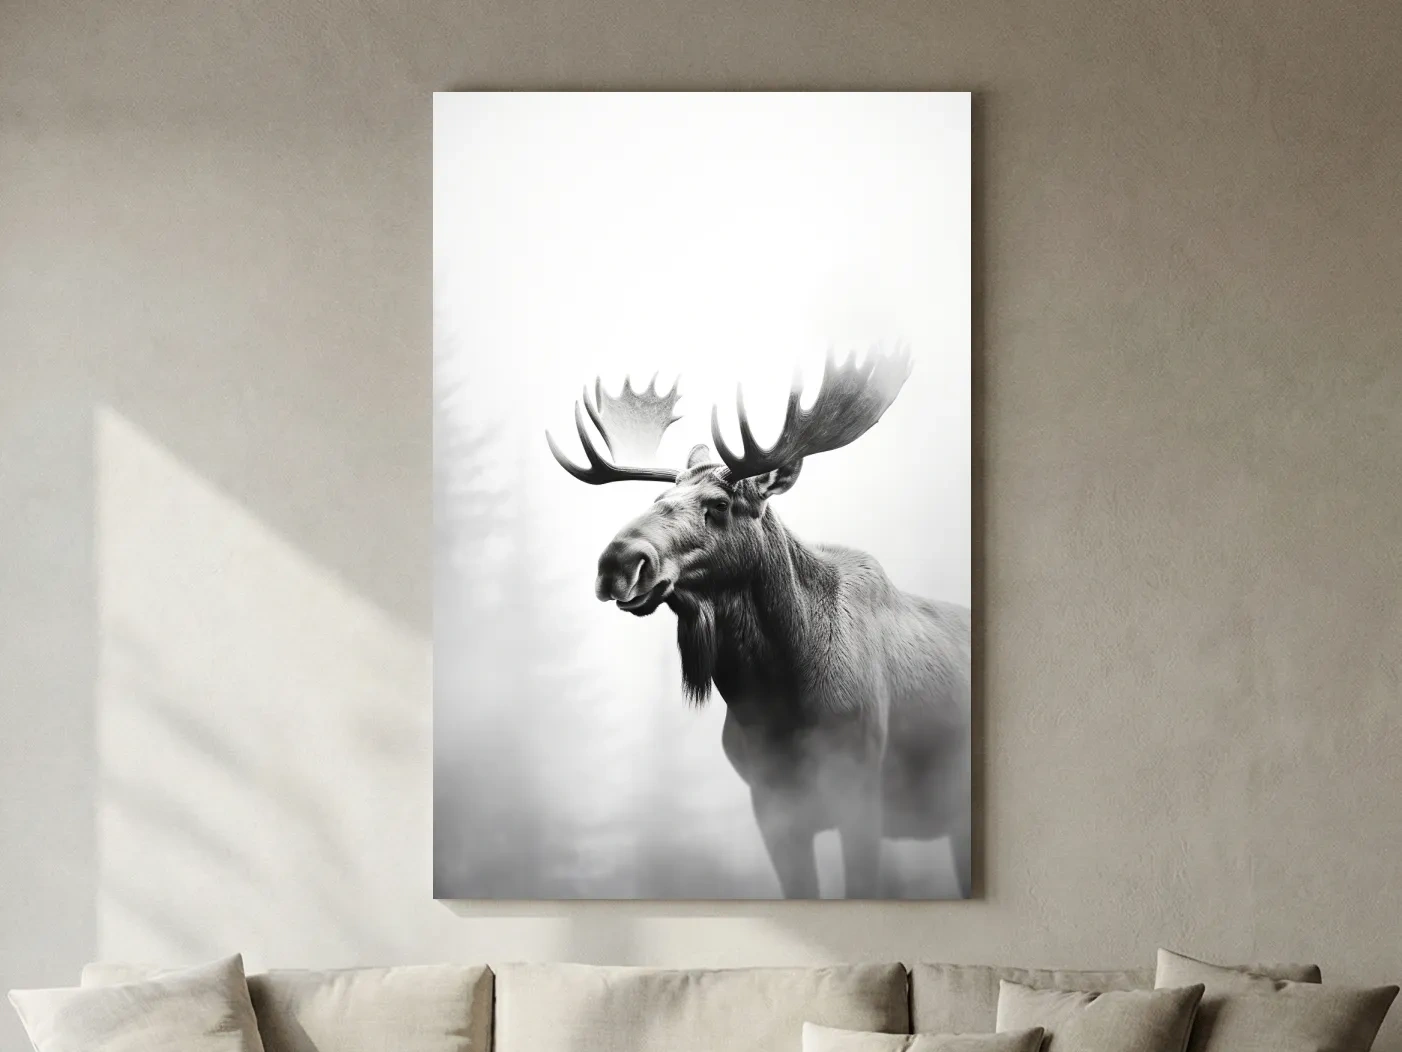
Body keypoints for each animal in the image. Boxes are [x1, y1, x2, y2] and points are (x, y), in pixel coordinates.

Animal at [546, 349, 970, 899]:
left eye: (719, 504)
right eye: (656, 502)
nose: (617, 561)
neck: (778, 699)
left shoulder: (861, 795)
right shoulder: (772, 807)